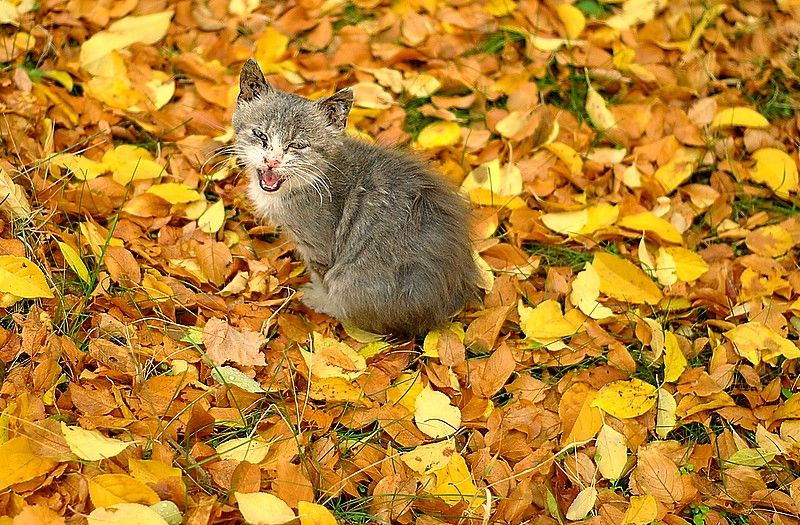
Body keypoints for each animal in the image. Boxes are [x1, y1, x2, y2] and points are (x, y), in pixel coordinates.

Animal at [232, 59, 480, 336]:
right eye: (260, 135)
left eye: (297, 145)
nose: (272, 161)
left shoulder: (319, 247)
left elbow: (321, 277)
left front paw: (318, 297)